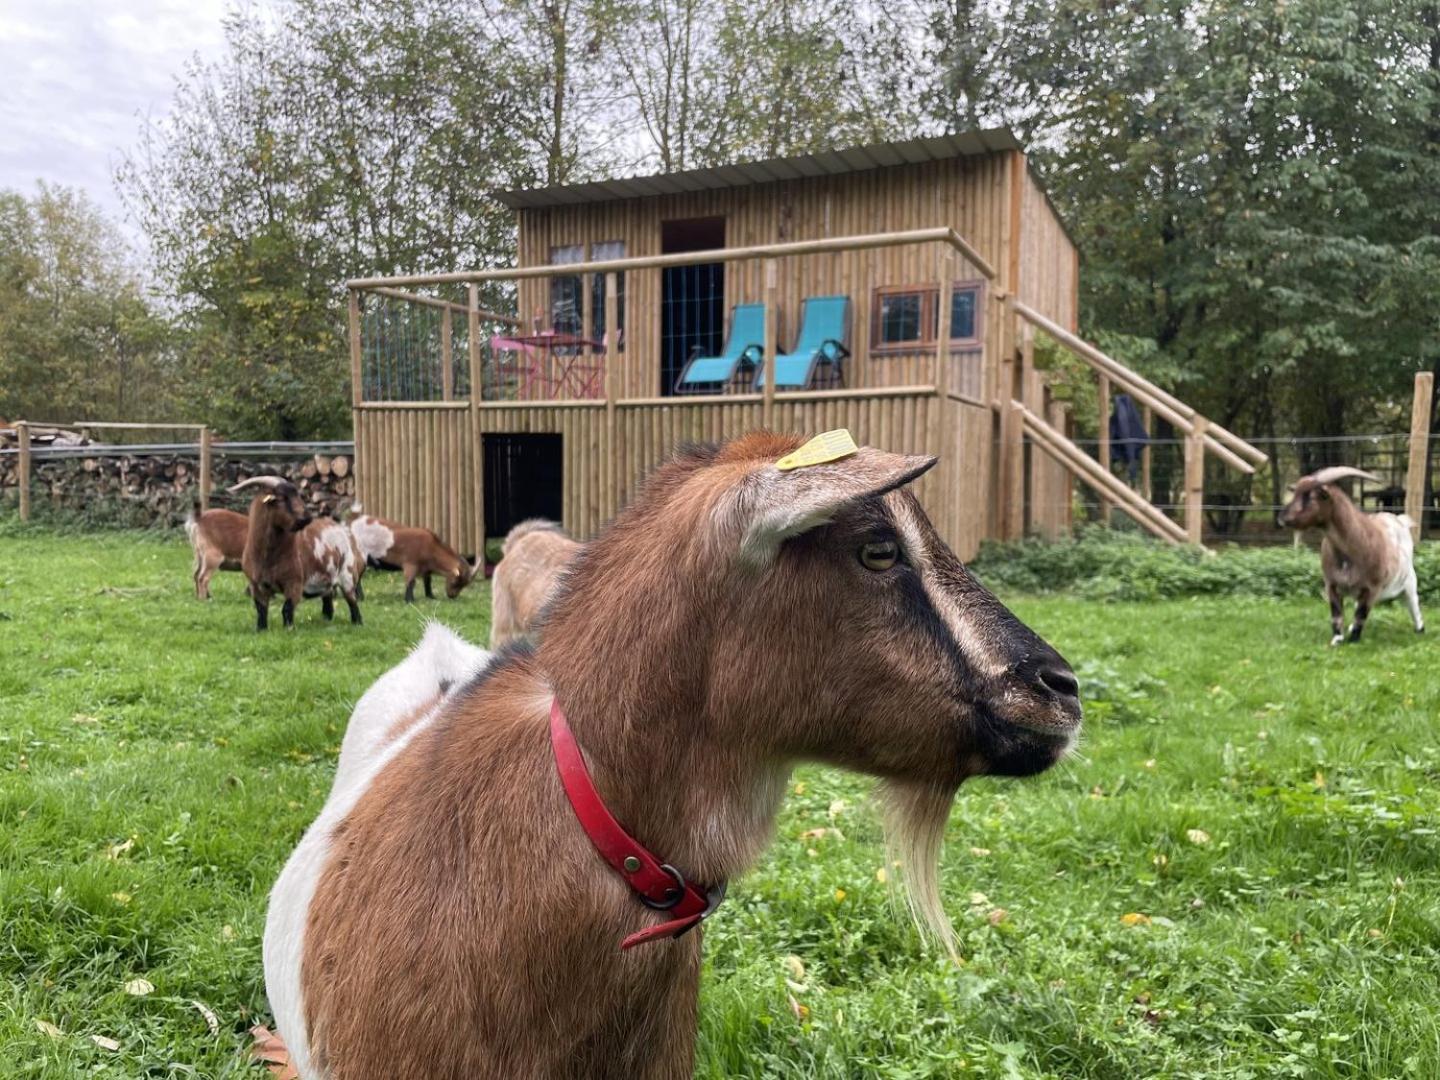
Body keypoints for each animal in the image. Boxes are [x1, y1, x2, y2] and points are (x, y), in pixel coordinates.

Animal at [347, 512, 478, 604]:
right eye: (456, 582)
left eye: (464, 584)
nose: (452, 596)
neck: (432, 547)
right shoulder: (411, 564)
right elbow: (411, 582)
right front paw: (409, 600)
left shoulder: (426, 568)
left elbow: (428, 581)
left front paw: (431, 596)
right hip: (359, 556)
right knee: (357, 576)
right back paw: (360, 597)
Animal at [1278, 463, 1422, 648]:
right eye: (1296, 492)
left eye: (1310, 496)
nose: (1282, 518)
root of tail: (1400, 520)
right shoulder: (1331, 585)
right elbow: (1337, 615)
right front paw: (1337, 639)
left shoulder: (1371, 588)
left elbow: (1361, 615)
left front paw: (1353, 639)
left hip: (1409, 579)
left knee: (1413, 602)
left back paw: (1420, 628)